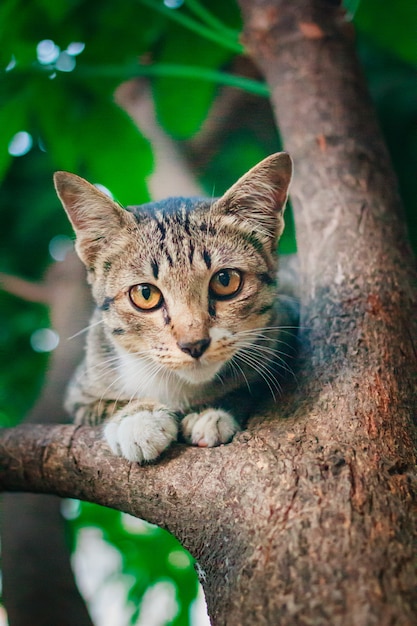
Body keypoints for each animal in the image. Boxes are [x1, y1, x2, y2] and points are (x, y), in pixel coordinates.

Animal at [53, 151, 298, 460]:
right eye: (145, 294)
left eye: (225, 280)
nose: (194, 344)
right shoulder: (81, 387)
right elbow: (98, 407)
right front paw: (137, 418)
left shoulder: (286, 325)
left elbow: (253, 386)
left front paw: (210, 412)